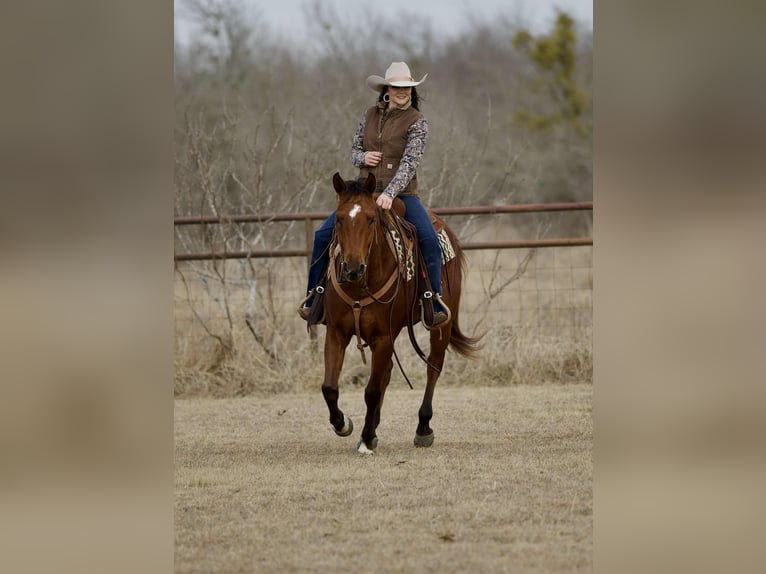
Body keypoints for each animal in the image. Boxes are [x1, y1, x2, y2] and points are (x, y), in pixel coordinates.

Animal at [319, 172, 483, 455]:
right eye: (339, 219)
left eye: (371, 219)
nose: (352, 268)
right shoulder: (337, 333)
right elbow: (330, 387)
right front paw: (345, 425)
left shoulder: (383, 336)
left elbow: (372, 390)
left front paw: (365, 439)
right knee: (387, 373)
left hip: (440, 326)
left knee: (433, 367)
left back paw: (423, 427)